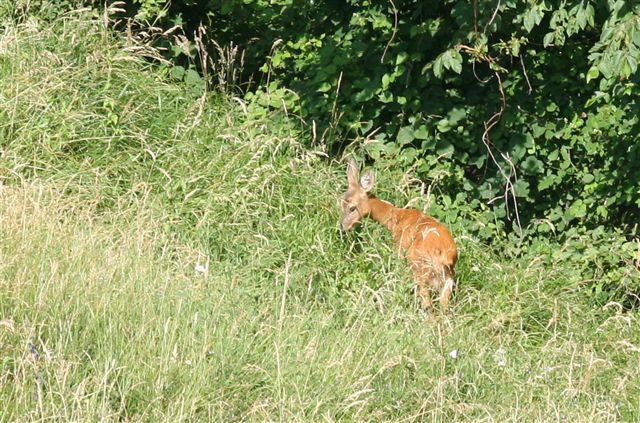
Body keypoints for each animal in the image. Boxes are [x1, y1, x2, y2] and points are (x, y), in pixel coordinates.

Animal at [340, 161, 460, 310]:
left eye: (352, 208)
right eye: (340, 204)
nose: (342, 227)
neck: (396, 219)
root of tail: (444, 254)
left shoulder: (399, 248)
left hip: (419, 266)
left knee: (427, 302)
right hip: (448, 277)